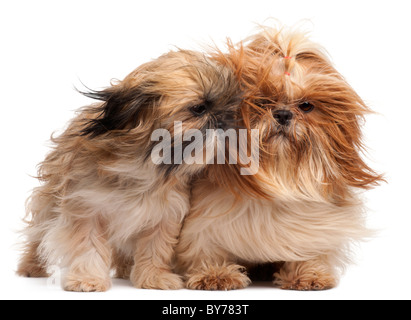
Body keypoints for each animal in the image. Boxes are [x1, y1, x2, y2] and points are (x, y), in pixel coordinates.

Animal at [17, 48, 243, 292]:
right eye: (199, 108)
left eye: (230, 107)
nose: (224, 120)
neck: (144, 165)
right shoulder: (86, 208)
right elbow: (89, 246)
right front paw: (88, 279)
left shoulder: (164, 215)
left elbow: (155, 248)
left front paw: (153, 277)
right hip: (49, 204)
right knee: (37, 236)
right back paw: (31, 267)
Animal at [178, 27, 386, 292]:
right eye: (262, 102)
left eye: (306, 106)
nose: (284, 114)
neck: (279, 172)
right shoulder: (203, 224)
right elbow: (205, 249)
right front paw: (215, 274)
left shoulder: (315, 224)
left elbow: (309, 249)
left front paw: (308, 275)